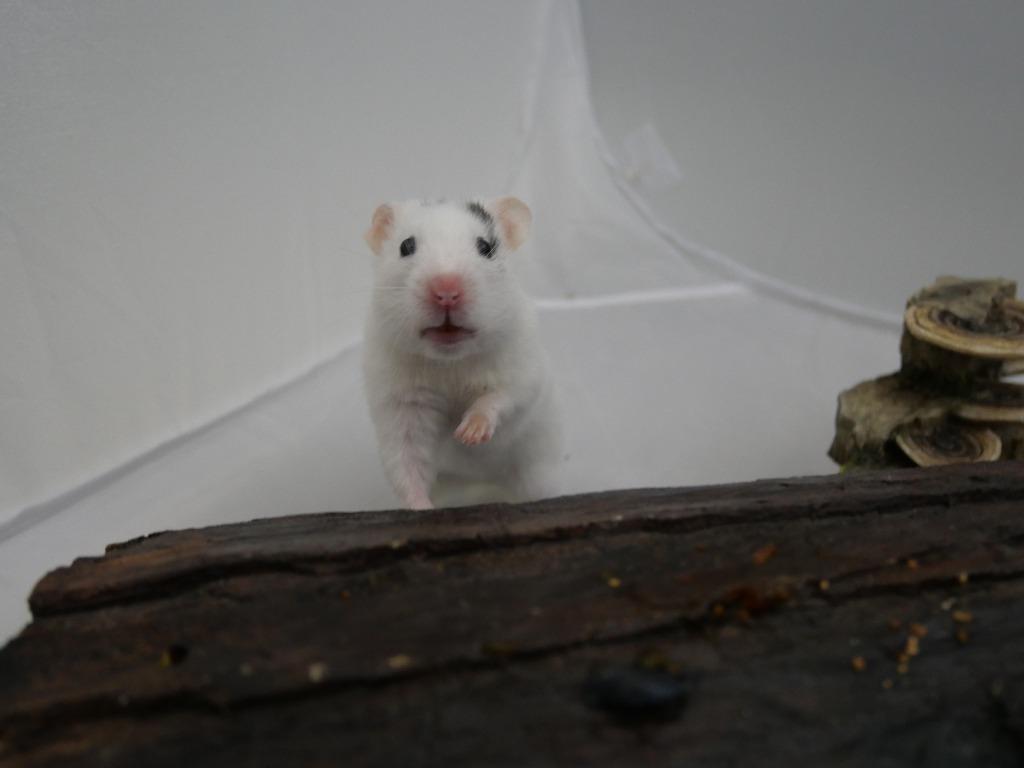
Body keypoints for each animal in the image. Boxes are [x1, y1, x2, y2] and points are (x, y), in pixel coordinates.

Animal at [361, 197, 560, 510]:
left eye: (485, 247)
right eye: (406, 246)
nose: (446, 292)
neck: (450, 362)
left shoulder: (524, 373)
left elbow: (499, 398)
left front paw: (468, 434)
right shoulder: (400, 408)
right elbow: (406, 464)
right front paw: (423, 509)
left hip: (538, 473)